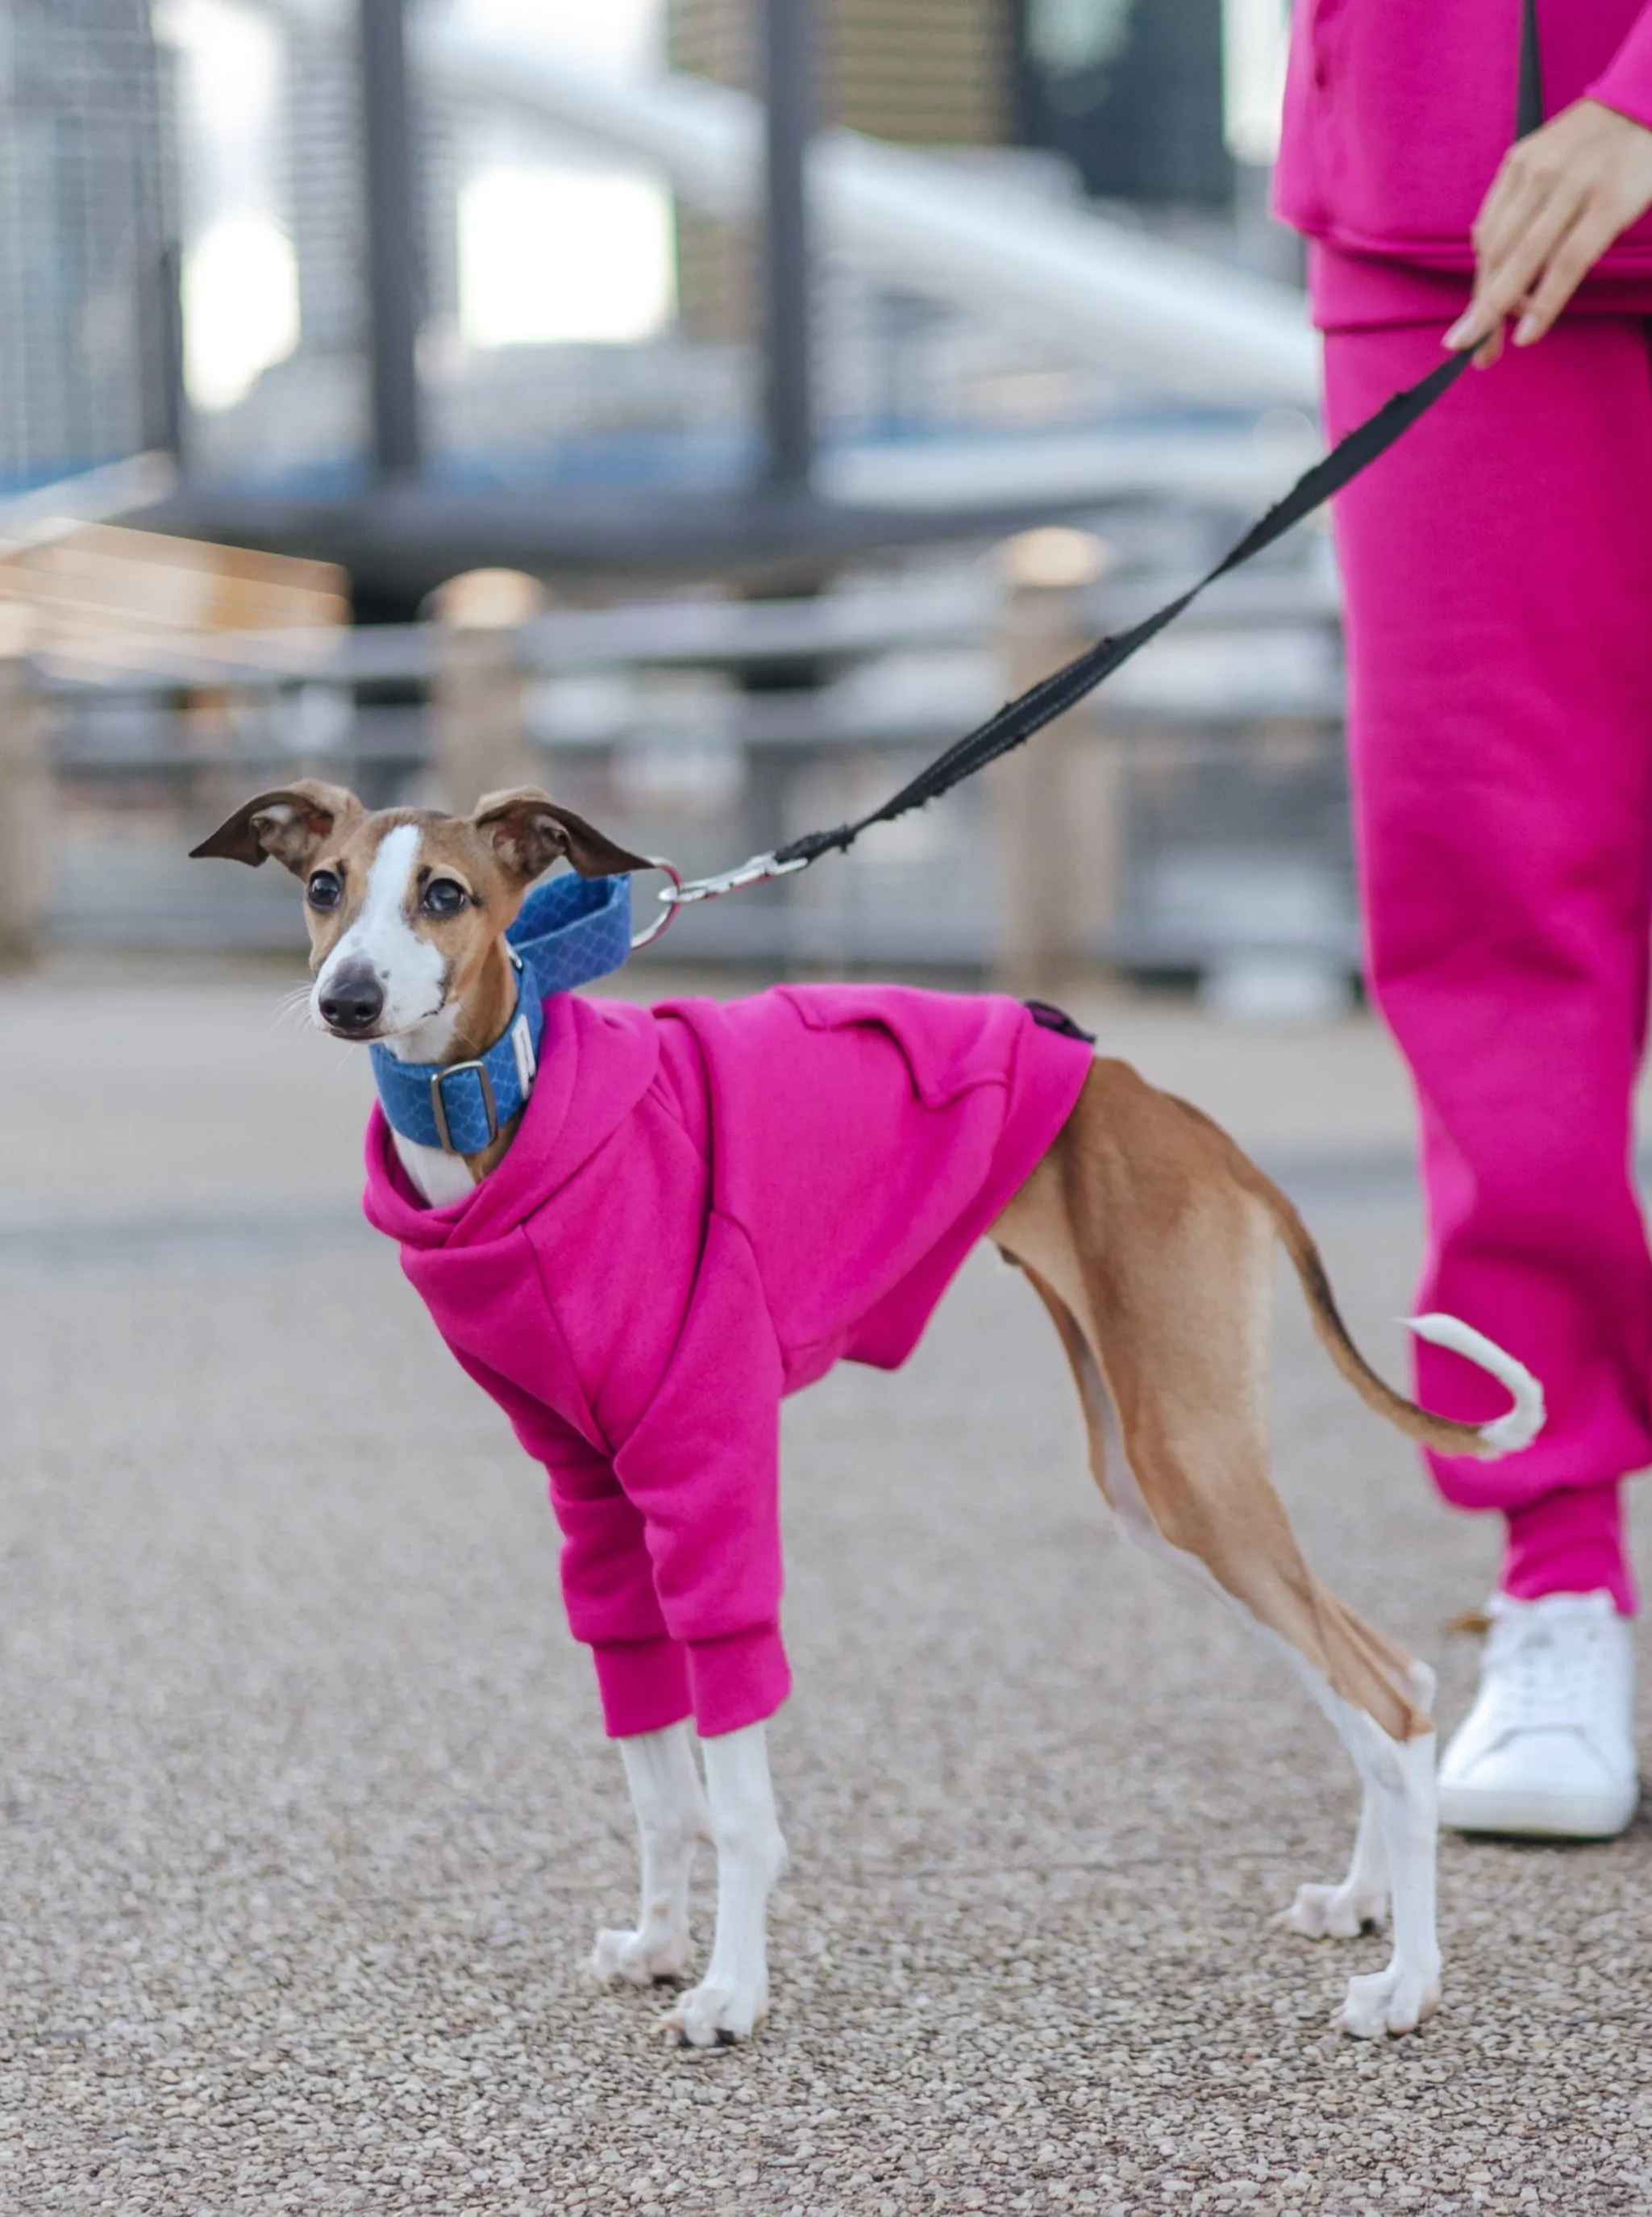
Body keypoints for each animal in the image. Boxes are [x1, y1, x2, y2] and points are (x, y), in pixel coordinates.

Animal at [196, 785, 1543, 2040]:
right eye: (323, 885)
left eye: (445, 895)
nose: (348, 998)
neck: (507, 1111)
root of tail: (1191, 1124)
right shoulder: (594, 1498)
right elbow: (657, 1777)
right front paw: (659, 1943)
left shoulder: (708, 1474)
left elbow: (735, 1795)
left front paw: (730, 1991)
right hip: (1159, 1490)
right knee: (1382, 1670)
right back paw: (1362, 1903)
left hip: (1189, 1463)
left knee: (1386, 1695)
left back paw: (1409, 1983)